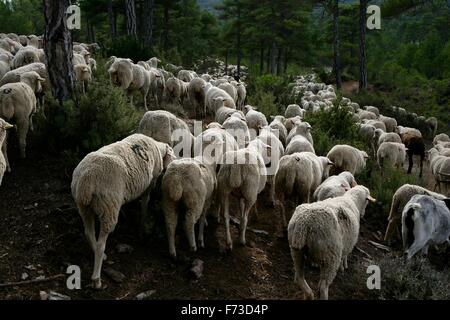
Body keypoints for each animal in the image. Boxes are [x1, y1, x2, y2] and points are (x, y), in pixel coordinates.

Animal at [71, 134, 175, 288]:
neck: (157, 147)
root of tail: (86, 180)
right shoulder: (149, 184)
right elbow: (145, 204)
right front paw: (142, 228)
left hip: (84, 207)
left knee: (89, 233)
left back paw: (99, 254)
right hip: (109, 206)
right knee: (101, 243)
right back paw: (97, 278)